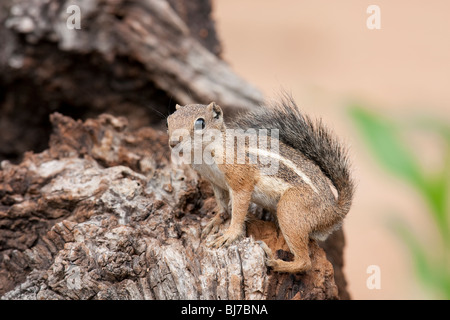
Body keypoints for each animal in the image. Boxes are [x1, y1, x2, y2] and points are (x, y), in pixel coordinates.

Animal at [167, 95, 354, 272]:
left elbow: (239, 210)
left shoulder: (241, 180)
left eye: (200, 123)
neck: (204, 154)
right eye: (169, 120)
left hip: (291, 210)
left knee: (305, 262)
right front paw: (216, 220)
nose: (173, 143)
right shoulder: (216, 183)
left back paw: (275, 262)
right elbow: (222, 205)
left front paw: (230, 234)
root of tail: (335, 210)